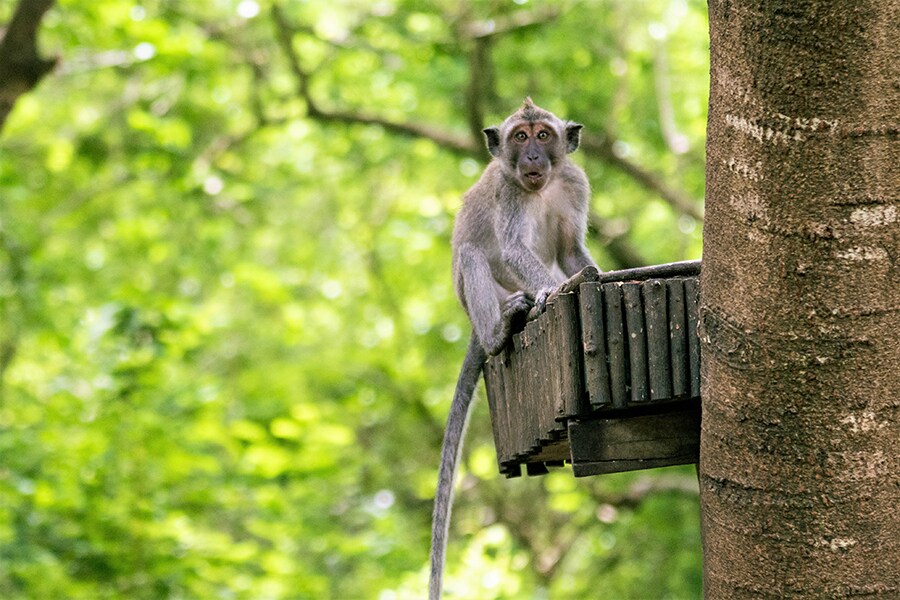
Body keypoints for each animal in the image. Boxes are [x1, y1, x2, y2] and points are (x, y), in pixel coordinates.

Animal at [428, 98, 596, 600]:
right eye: (519, 137)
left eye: (543, 135)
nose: (534, 157)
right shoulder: (508, 193)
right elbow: (515, 249)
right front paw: (554, 290)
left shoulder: (574, 183)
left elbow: (571, 251)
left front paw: (591, 274)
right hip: (481, 300)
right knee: (472, 256)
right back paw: (501, 329)